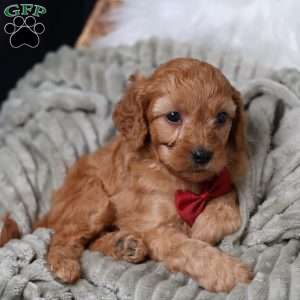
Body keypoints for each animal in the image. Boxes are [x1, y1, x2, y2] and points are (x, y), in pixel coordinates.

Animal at [0, 57, 253, 292]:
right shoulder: (154, 228)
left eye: (221, 118)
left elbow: (228, 206)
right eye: (173, 116)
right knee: (63, 236)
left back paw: (124, 245)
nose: (203, 155)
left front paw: (204, 227)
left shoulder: (223, 181)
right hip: (93, 198)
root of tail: (49, 211)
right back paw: (65, 264)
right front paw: (229, 273)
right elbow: (191, 249)